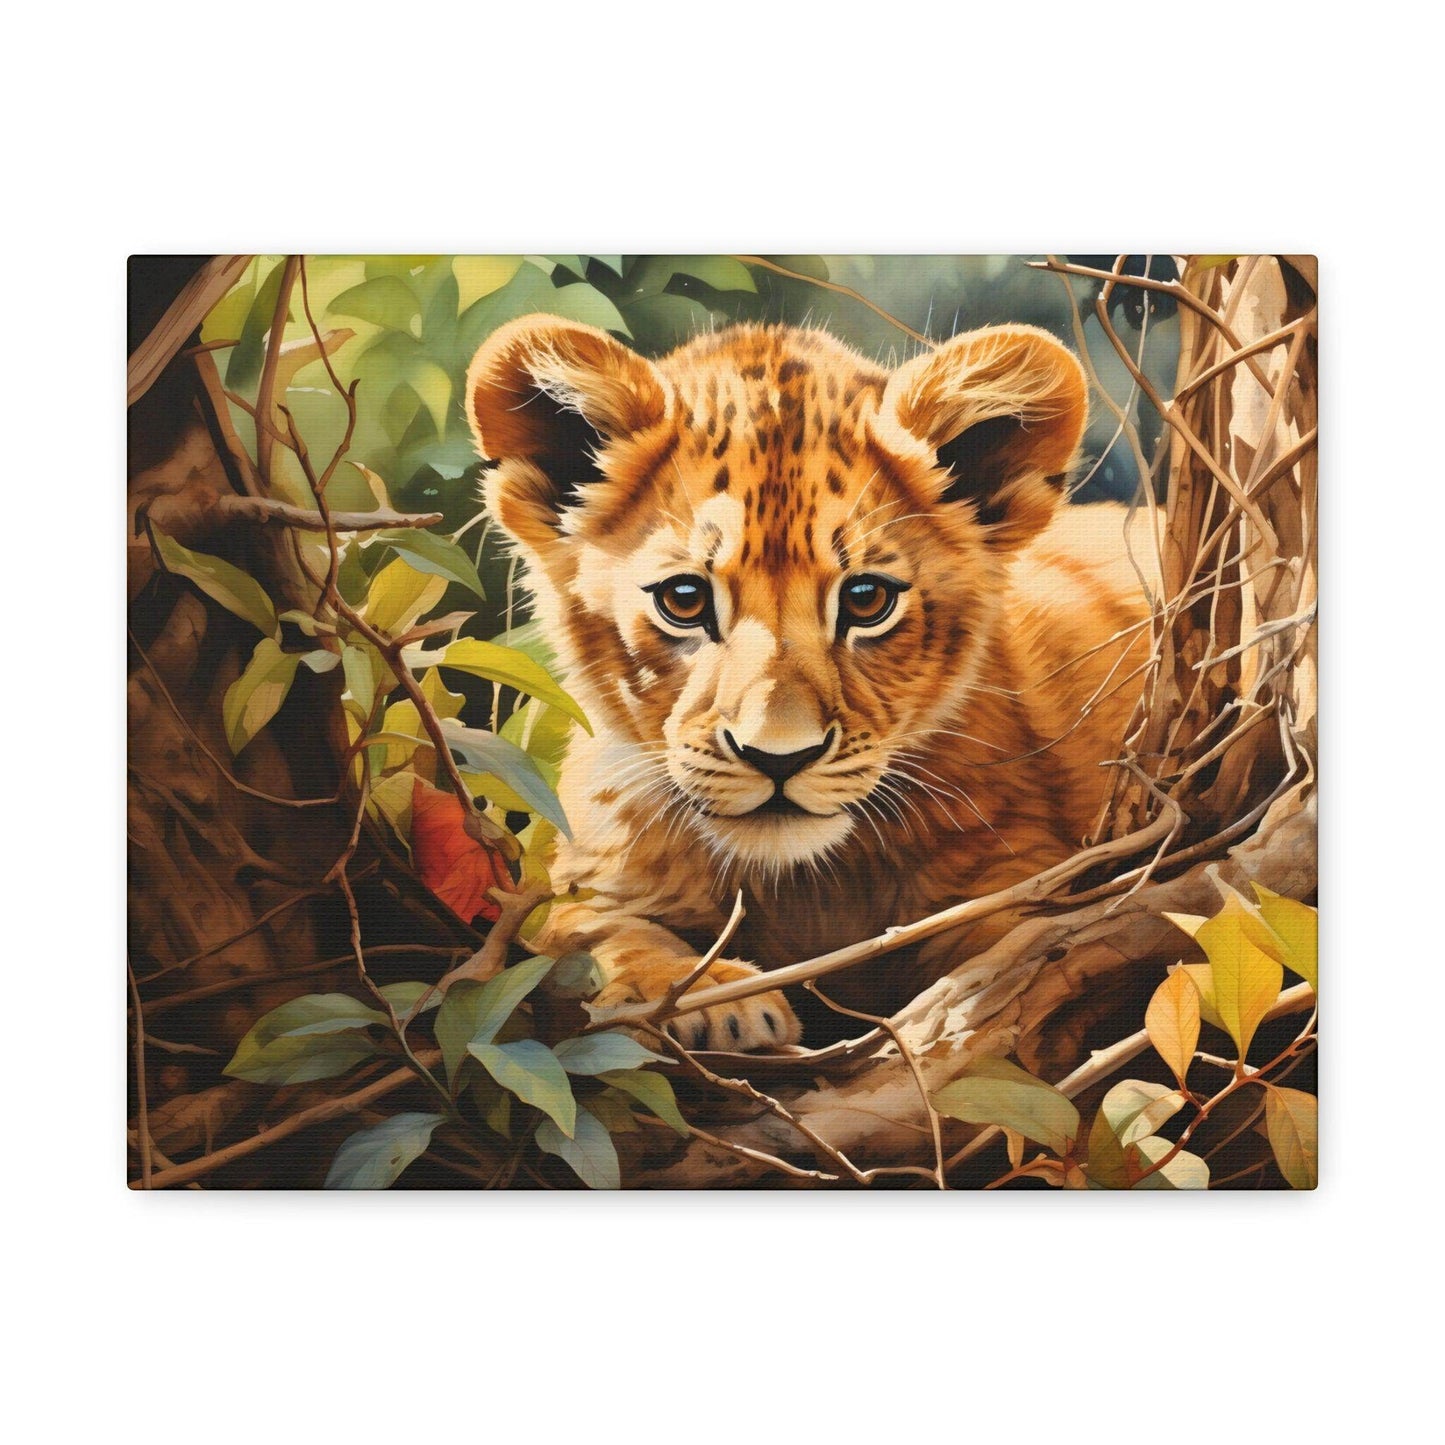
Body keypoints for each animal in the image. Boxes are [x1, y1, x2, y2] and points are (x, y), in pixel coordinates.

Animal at [466, 315, 1153, 1049]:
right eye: (684, 598)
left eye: (866, 600)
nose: (777, 757)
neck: (804, 889)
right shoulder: (584, 883)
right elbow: (588, 934)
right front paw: (705, 998)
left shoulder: (1022, 870)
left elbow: (1025, 945)